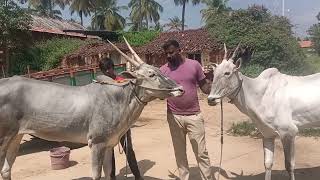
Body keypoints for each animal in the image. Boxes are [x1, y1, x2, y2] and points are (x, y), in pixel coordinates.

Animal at [208, 44, 320, 180]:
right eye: (214, 73)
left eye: (227, 73)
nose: (211, 99)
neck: (259, 93)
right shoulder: (267, 134)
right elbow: (267, 163)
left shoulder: (289, 132)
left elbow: (289, 166)